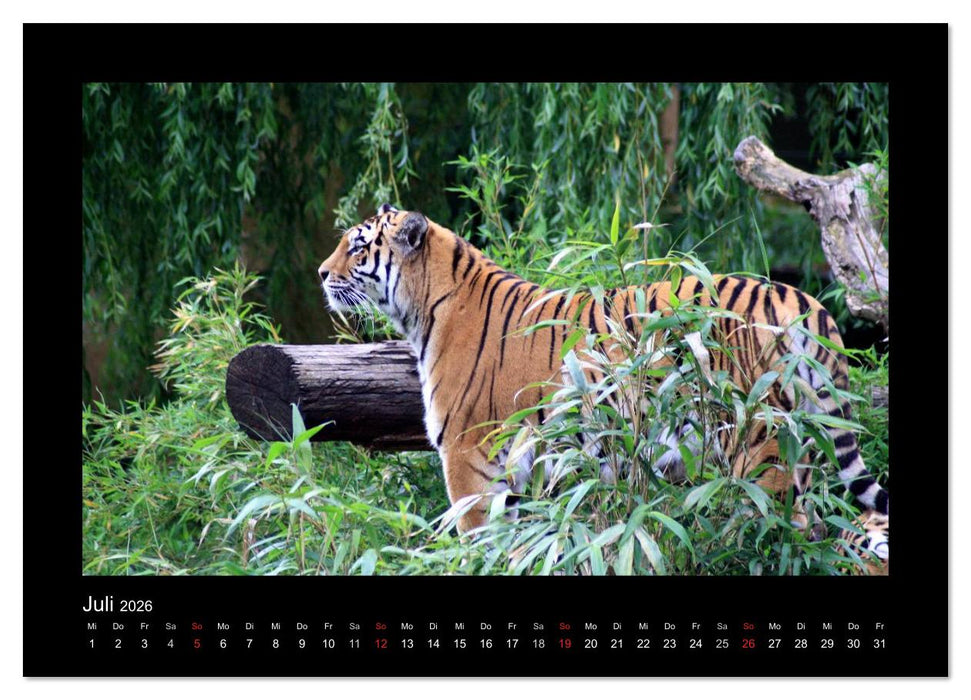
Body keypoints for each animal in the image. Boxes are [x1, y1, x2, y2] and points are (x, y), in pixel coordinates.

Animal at [318, 204, 889, 566]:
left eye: (358, 247)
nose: (322, 273)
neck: (421, 308)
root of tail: (801, 298)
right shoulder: (517, 470)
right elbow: (521, 542)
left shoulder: (467, 454)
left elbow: (475, 539)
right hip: (804, 447)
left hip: (760, 447)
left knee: (786, 530)